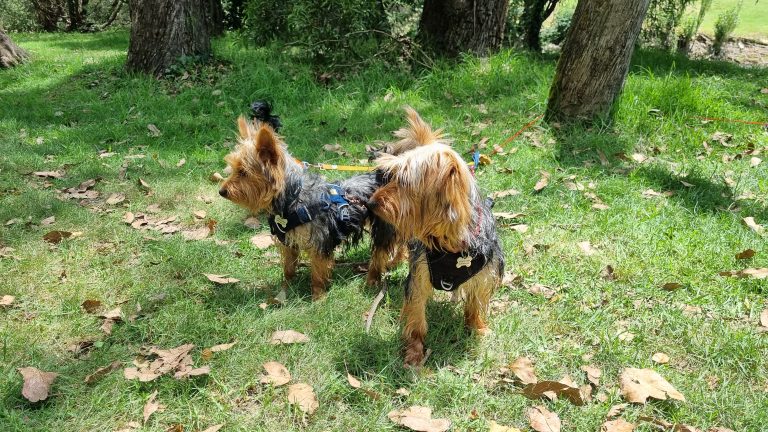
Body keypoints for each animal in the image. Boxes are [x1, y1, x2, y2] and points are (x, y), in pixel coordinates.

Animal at [219, 118, 402, 300]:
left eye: (243, 172)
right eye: (233, 169)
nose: (221, 191)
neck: (292, 199)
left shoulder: (319, 241)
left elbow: (318, 271)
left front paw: (318, 296)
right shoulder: (288, 240)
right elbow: (288, 266)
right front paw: (286, 284)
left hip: (384, 225)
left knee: (380, 252)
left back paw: (372, 279)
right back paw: (395, 262)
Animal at [370, 109, 508, 368]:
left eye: (403, 182)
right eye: (390, 176)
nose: (372, 203)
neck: (451, 242)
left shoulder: (484, 274)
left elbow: (475, 303)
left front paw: (477, 328)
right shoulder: (420, 276)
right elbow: (416, 317)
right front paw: (414, 353)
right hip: (391, 227)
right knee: (381, 250)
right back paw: (374, 276)